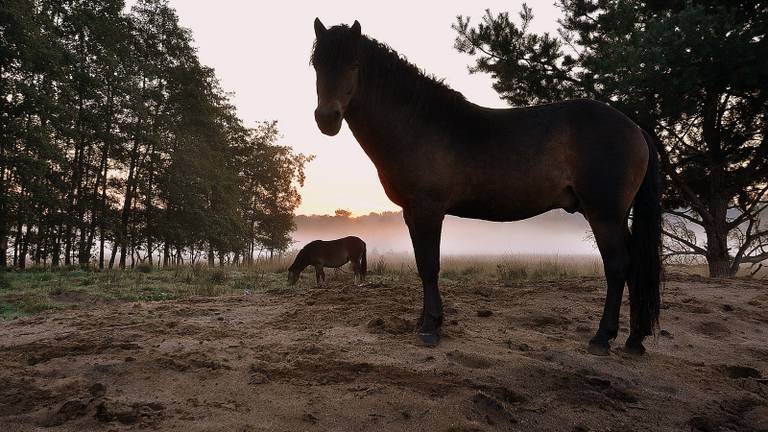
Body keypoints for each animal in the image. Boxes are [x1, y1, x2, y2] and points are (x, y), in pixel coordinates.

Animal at [308, 19, 664, 354]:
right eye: (316, 64)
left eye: (354, 64)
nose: (327, 118)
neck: (418, 124)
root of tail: (635, 128)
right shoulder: (412, 213)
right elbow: (423, 266)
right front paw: (425, 321)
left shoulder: (428, 210)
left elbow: (430, 266)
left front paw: (431, 327)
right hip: (614, 216)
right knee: (634, 266)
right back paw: (634, 339)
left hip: (604, 214)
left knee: (618, 266)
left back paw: (603, 338)